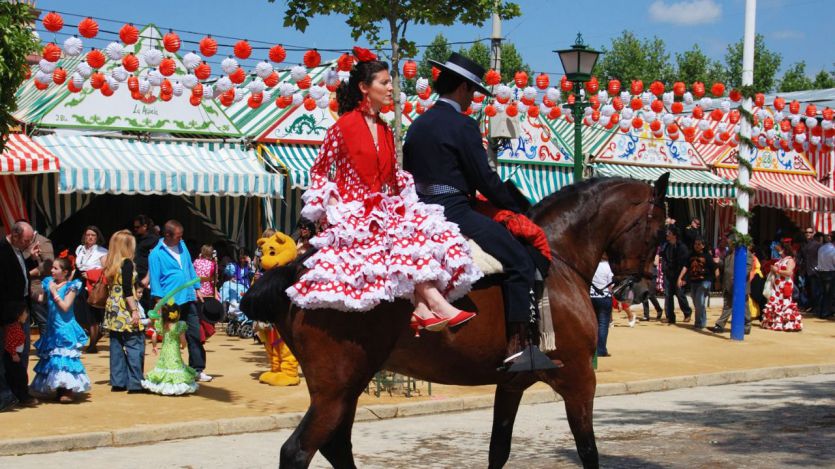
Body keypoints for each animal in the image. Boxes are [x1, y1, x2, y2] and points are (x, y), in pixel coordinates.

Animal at [243, 174, 672, 466]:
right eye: (657, 234)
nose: (642, 289)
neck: (557, 258)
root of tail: (297, 270)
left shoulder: (512, 382)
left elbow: (499, 449)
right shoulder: (579, 378)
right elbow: (588, 450)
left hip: (347, 387)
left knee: (335, 446)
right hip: (337, 389)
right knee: (298, 450)